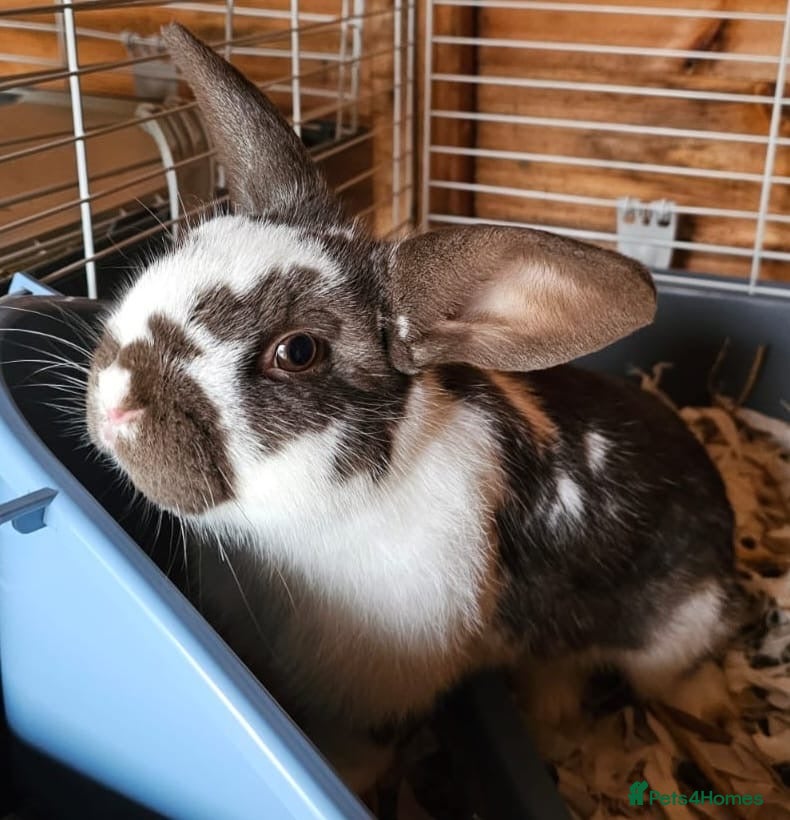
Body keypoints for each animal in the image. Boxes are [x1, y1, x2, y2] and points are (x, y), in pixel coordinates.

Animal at [84, 23, 740, 793]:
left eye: (298, 352)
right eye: (180, 249)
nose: (115, 405)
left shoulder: (383, 687)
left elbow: (365, 752)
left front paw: (346, 772)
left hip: (679, 628)